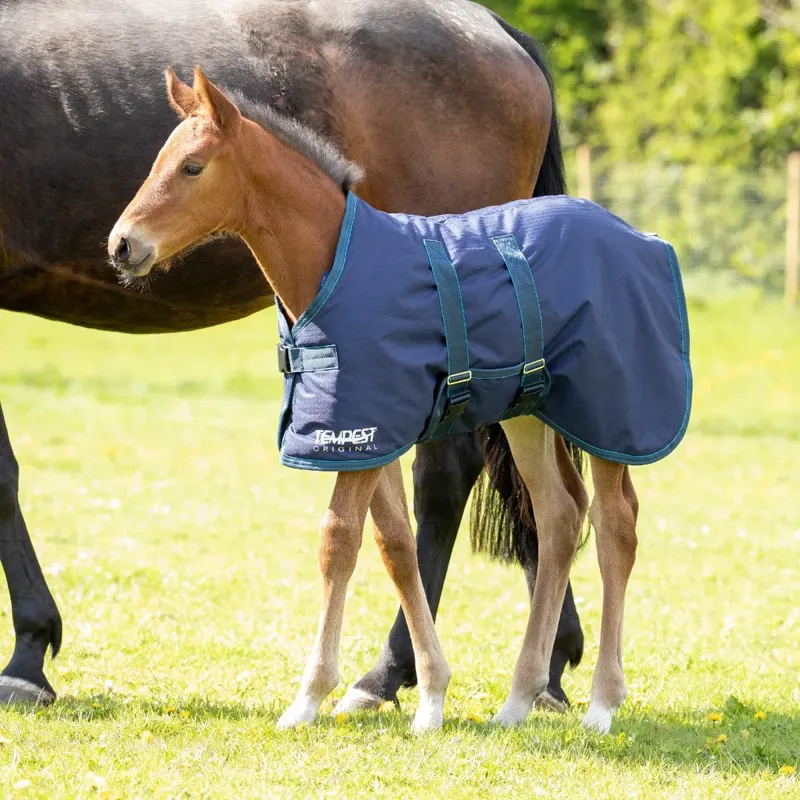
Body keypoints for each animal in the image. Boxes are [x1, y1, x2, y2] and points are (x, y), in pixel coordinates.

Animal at [0, 0, 583, 711]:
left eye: (192, 168)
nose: (121, 245)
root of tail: (501, 33)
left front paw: (26, 659)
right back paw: (548, 667)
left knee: (453, 476)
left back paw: (390, 673)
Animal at [107, 68, 686, 734]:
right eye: (159, 160)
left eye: (193, 167)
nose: (121, 245)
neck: (335, 264)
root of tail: (642, 238)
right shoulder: (368, 431)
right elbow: (395, 545)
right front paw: (429, 695)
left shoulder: (359, 428)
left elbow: (338, 542)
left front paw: (309, 698)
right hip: (529, 413)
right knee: (561, 515)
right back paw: (517, 699)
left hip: (614, 413)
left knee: (617, 527)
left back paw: (601, 705)